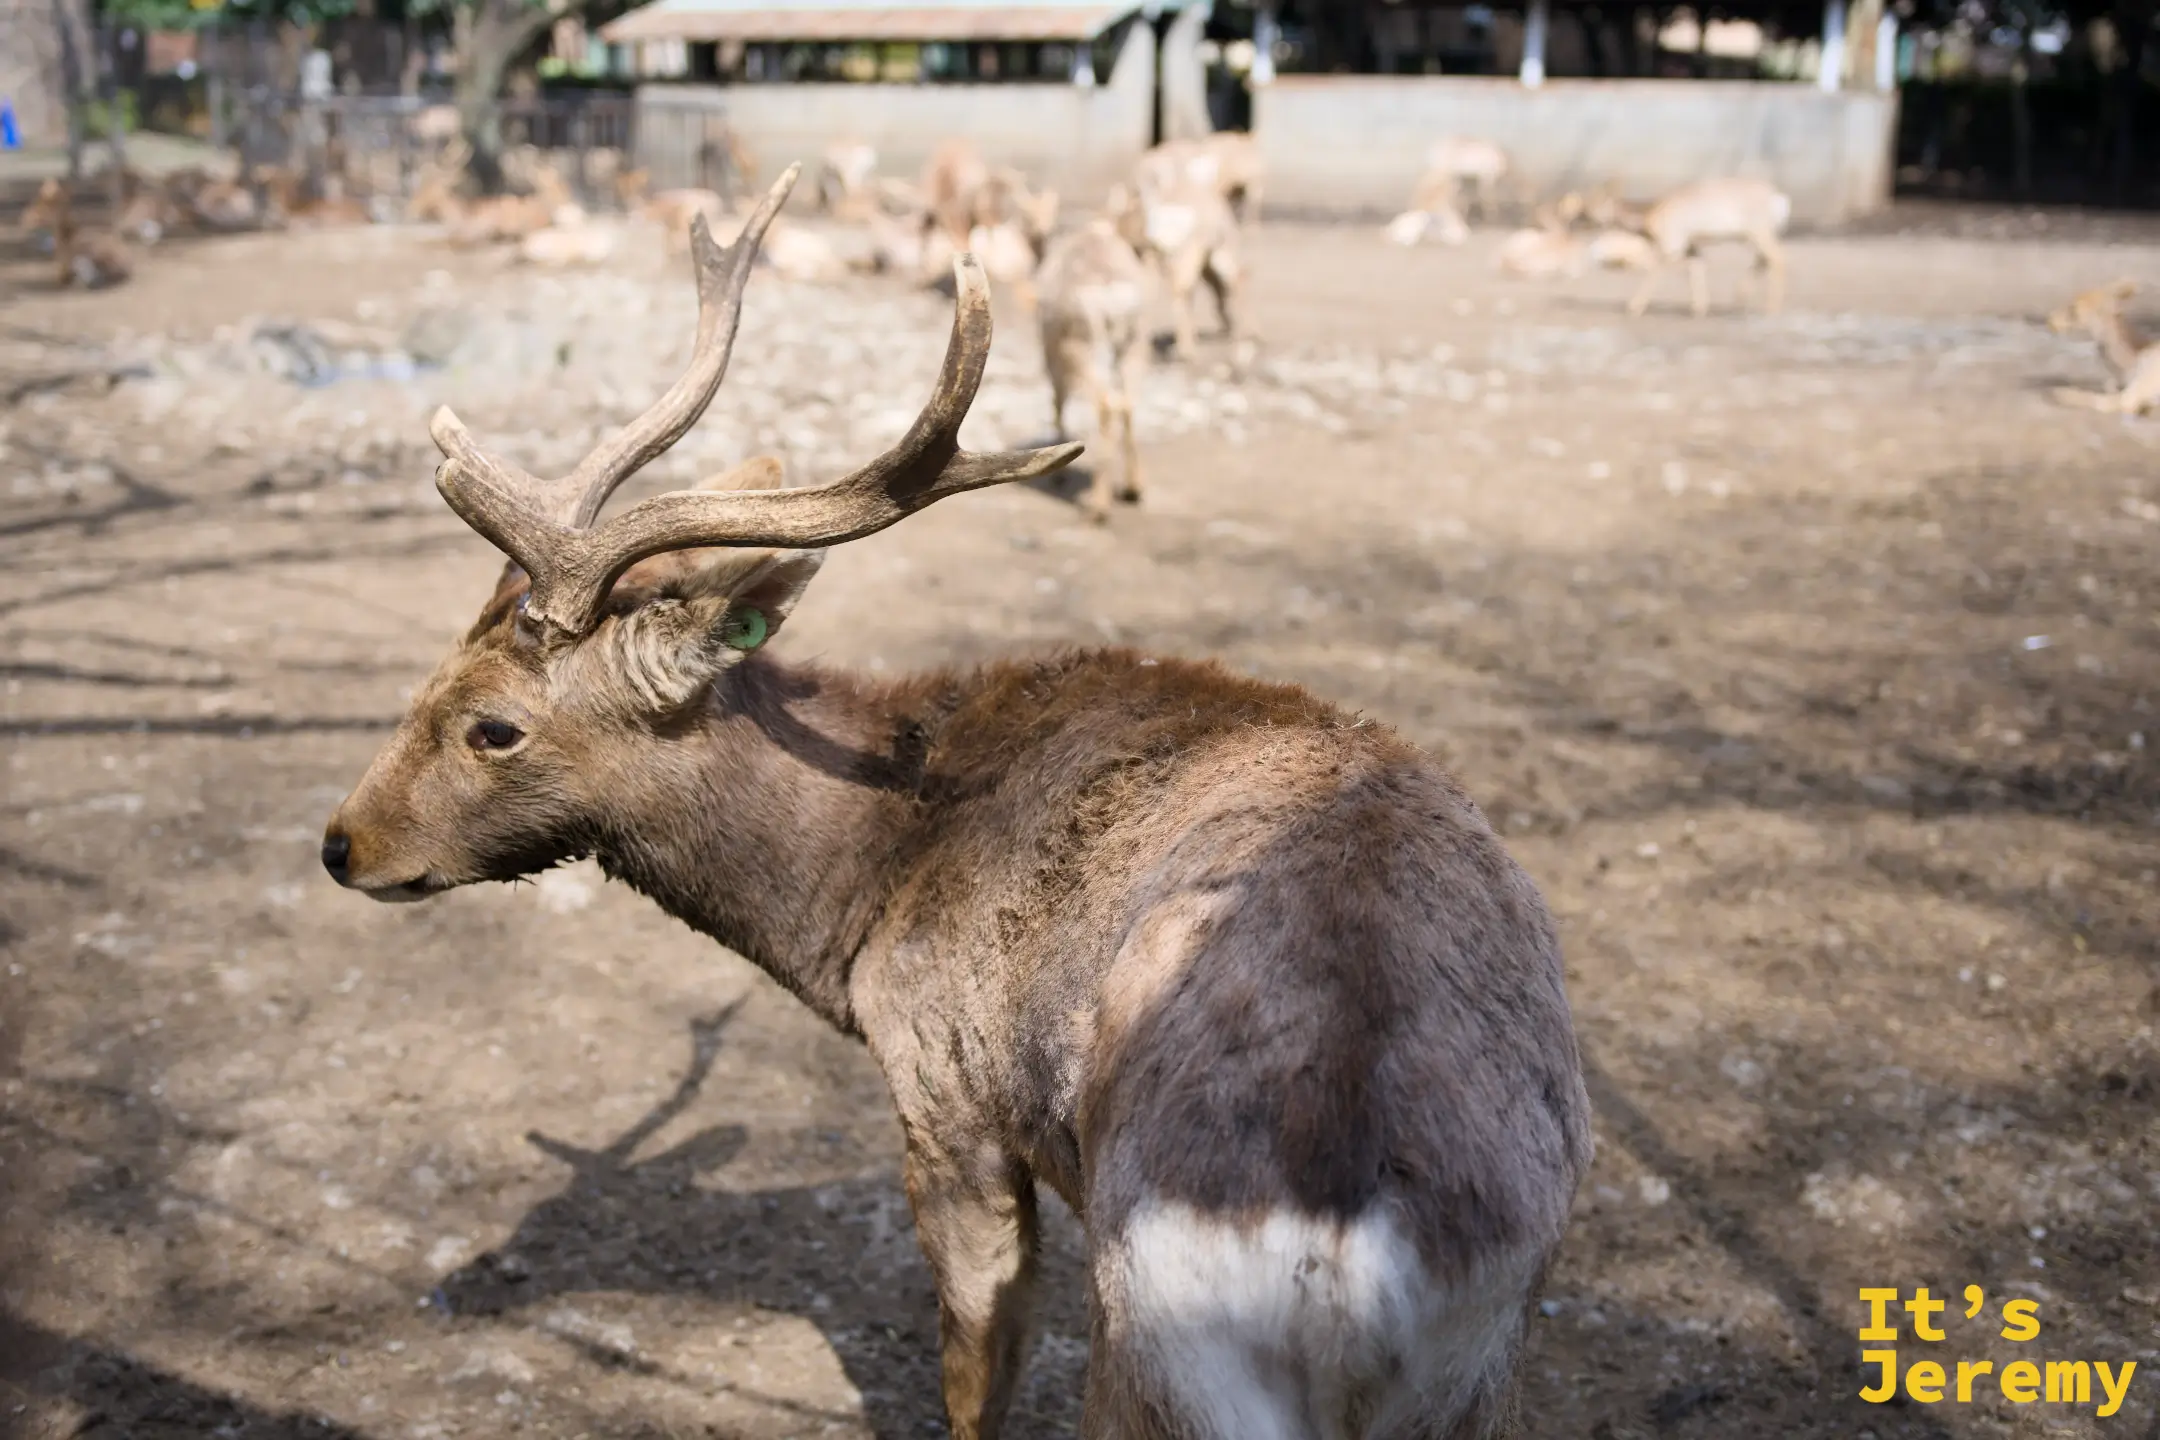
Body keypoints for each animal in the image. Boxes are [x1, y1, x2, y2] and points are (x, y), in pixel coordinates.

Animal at [1035, 217, 1148, 520]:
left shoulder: (1054, 356)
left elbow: (1057, 401)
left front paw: (1058, 476)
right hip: (1132, 348)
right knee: (1128, 403)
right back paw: (1133, 490)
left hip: (1086, 353)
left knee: (1104, 406)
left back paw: (1097, 507)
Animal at [1622, 176, 1790, 319]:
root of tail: (1776, 196)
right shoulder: (1692, 249)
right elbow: (1696, 267)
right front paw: (1699, 308)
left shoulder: (1672, 249)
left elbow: (1656, 269)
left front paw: (1635, 307)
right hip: (1754, 239)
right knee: (1763, 260)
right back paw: (1740, 297)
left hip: (1760, 236)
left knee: (1777, 259)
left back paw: (1771, 308)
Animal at [2045, 279, 2160, 415]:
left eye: (2073, 308)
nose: (2051, 321)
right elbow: (2108, 386)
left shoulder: (2131, 394)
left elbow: (2100, 400)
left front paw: (2060, 393)